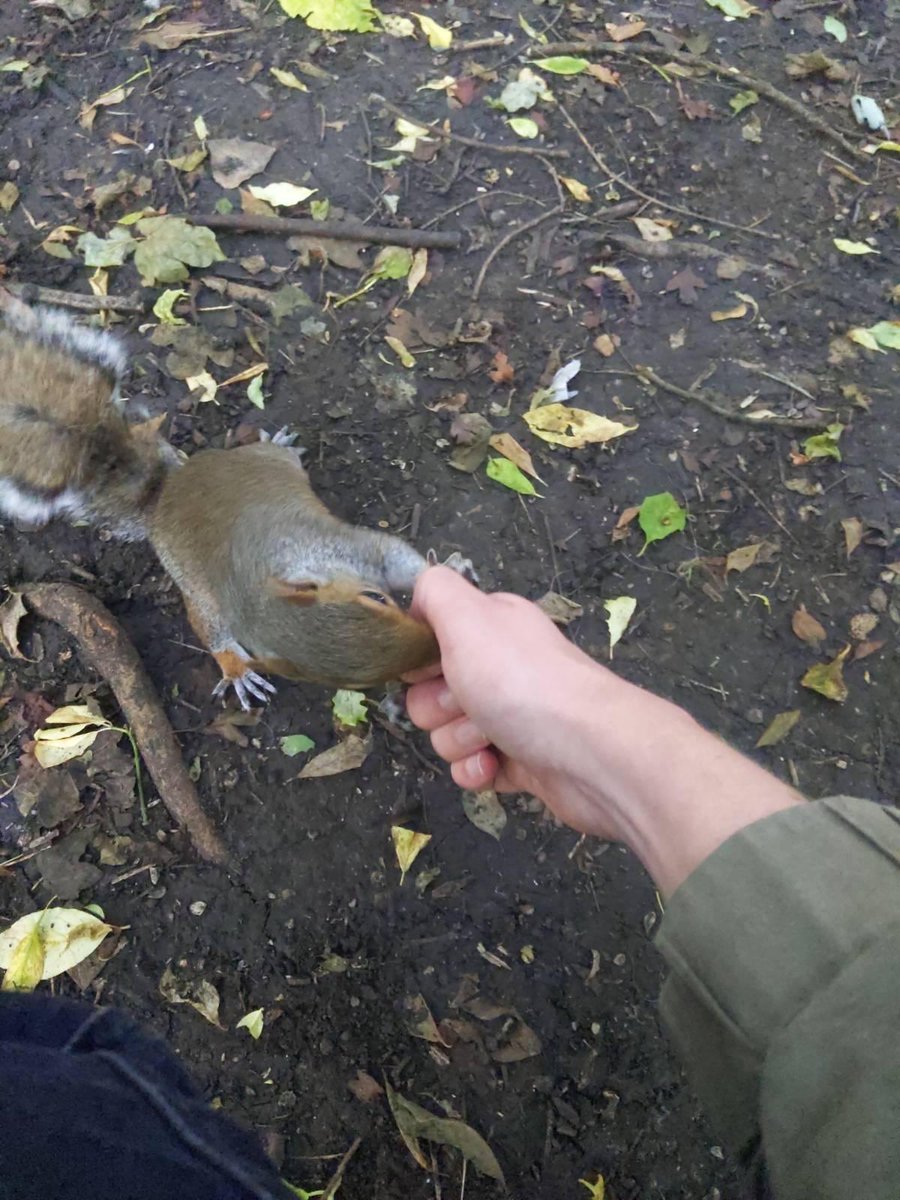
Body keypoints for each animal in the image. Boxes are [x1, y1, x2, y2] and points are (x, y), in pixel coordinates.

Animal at [0, 291, 472, 707]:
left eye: (378, 599)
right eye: (352, 681)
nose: (433, 654)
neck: (263, 586)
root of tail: (169, 488)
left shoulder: (353, 548)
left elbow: (400, 560)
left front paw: (446, 568)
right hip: (194, 582)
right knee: (205, 624)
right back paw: (237, 670)